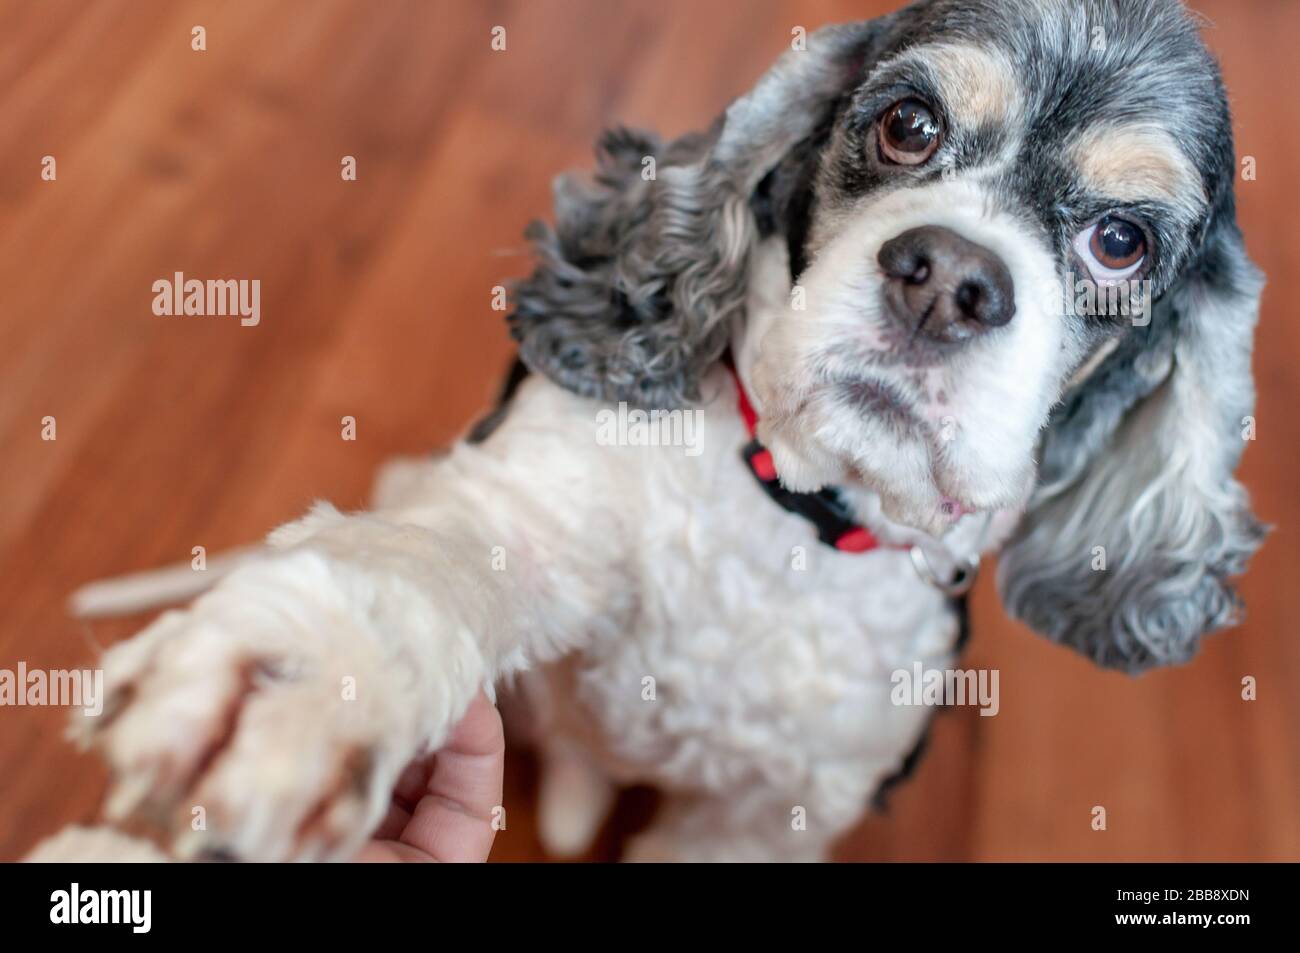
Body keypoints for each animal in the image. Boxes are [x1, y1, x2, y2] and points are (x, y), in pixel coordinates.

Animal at [43, 0, 1258, 863]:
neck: (788, 512)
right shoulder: (538, 507)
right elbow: (426, 570)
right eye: (906, 126)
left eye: (1119, 242)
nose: (947, 279)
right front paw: (300, 678)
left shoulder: (771, 813)